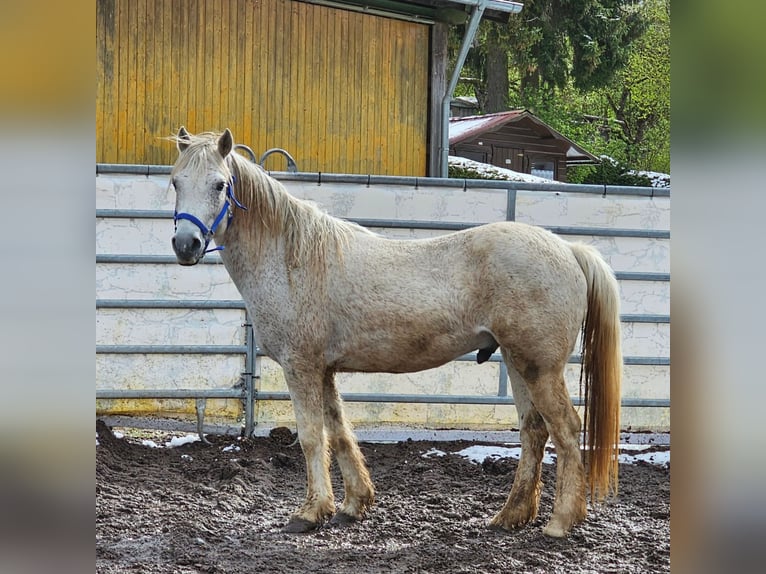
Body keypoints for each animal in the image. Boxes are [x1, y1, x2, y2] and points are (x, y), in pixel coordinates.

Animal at [170, 128, 624, 536]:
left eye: (219, 184)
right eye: (175, 181)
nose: (185, 244)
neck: (291, 260)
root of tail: (568, 250)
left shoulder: (301, 367)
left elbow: (312, 438)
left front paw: (310, 512)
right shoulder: (325, 370)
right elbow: (339, 432)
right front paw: (353, 504)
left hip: (540, 368)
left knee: (566, 430)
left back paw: (560, 522)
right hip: (517, 363)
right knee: (534, 431)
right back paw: (509, 516)